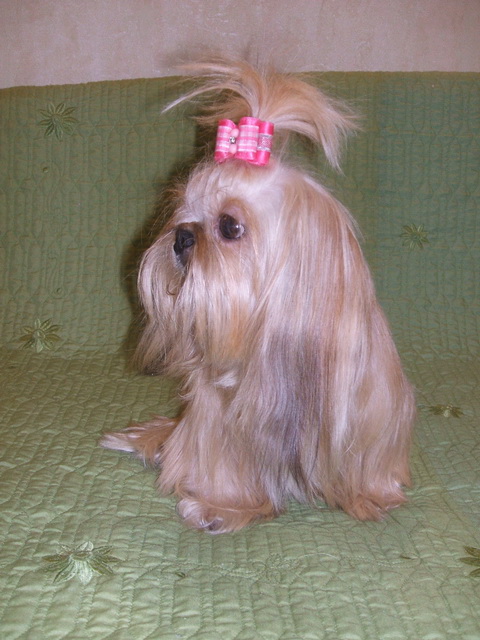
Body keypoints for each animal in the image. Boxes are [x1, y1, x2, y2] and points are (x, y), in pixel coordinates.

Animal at [101, 59, 415, 533]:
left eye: (230, 226)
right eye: (182, 212)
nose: (181, 236)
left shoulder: (373, 412)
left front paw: (367, 497)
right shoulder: (220, 415)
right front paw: (224, 505)